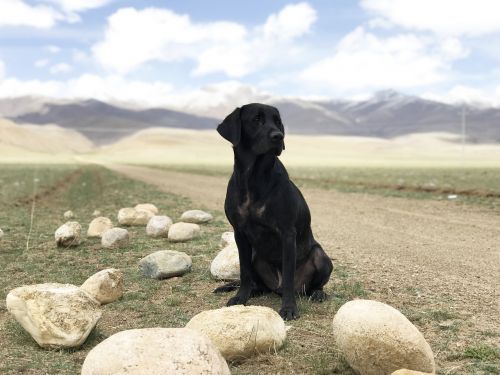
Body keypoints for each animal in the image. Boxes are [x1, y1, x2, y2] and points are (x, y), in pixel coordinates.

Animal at [214, 103, 332, 320]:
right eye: (256, 119)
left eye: (278, 121)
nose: (279, 136)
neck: (253, 177)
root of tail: (274, 287)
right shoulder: (239, 233)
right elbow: (244, 272)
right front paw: (240, 298)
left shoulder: (287, 233)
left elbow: (288, 277)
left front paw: (289, 308)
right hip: (255, 256)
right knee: (257, 283)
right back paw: (251, 290)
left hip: (320, 256)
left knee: (311, 285)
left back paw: (318, 294)